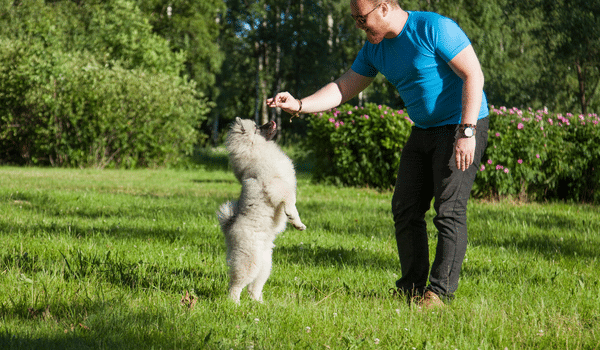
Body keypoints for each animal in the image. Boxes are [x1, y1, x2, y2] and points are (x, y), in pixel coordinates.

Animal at [218, 117, 308, 304]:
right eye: (257, 127)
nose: (272, 121)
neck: (255, 151)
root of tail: (228, 229)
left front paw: (297, 223)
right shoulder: (277, 186)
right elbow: (291, 202)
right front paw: (294, 220)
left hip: (265, 264)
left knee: (254, 287)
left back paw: (259, 303)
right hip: (249, 260)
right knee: (236, 285)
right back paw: (235, 304)